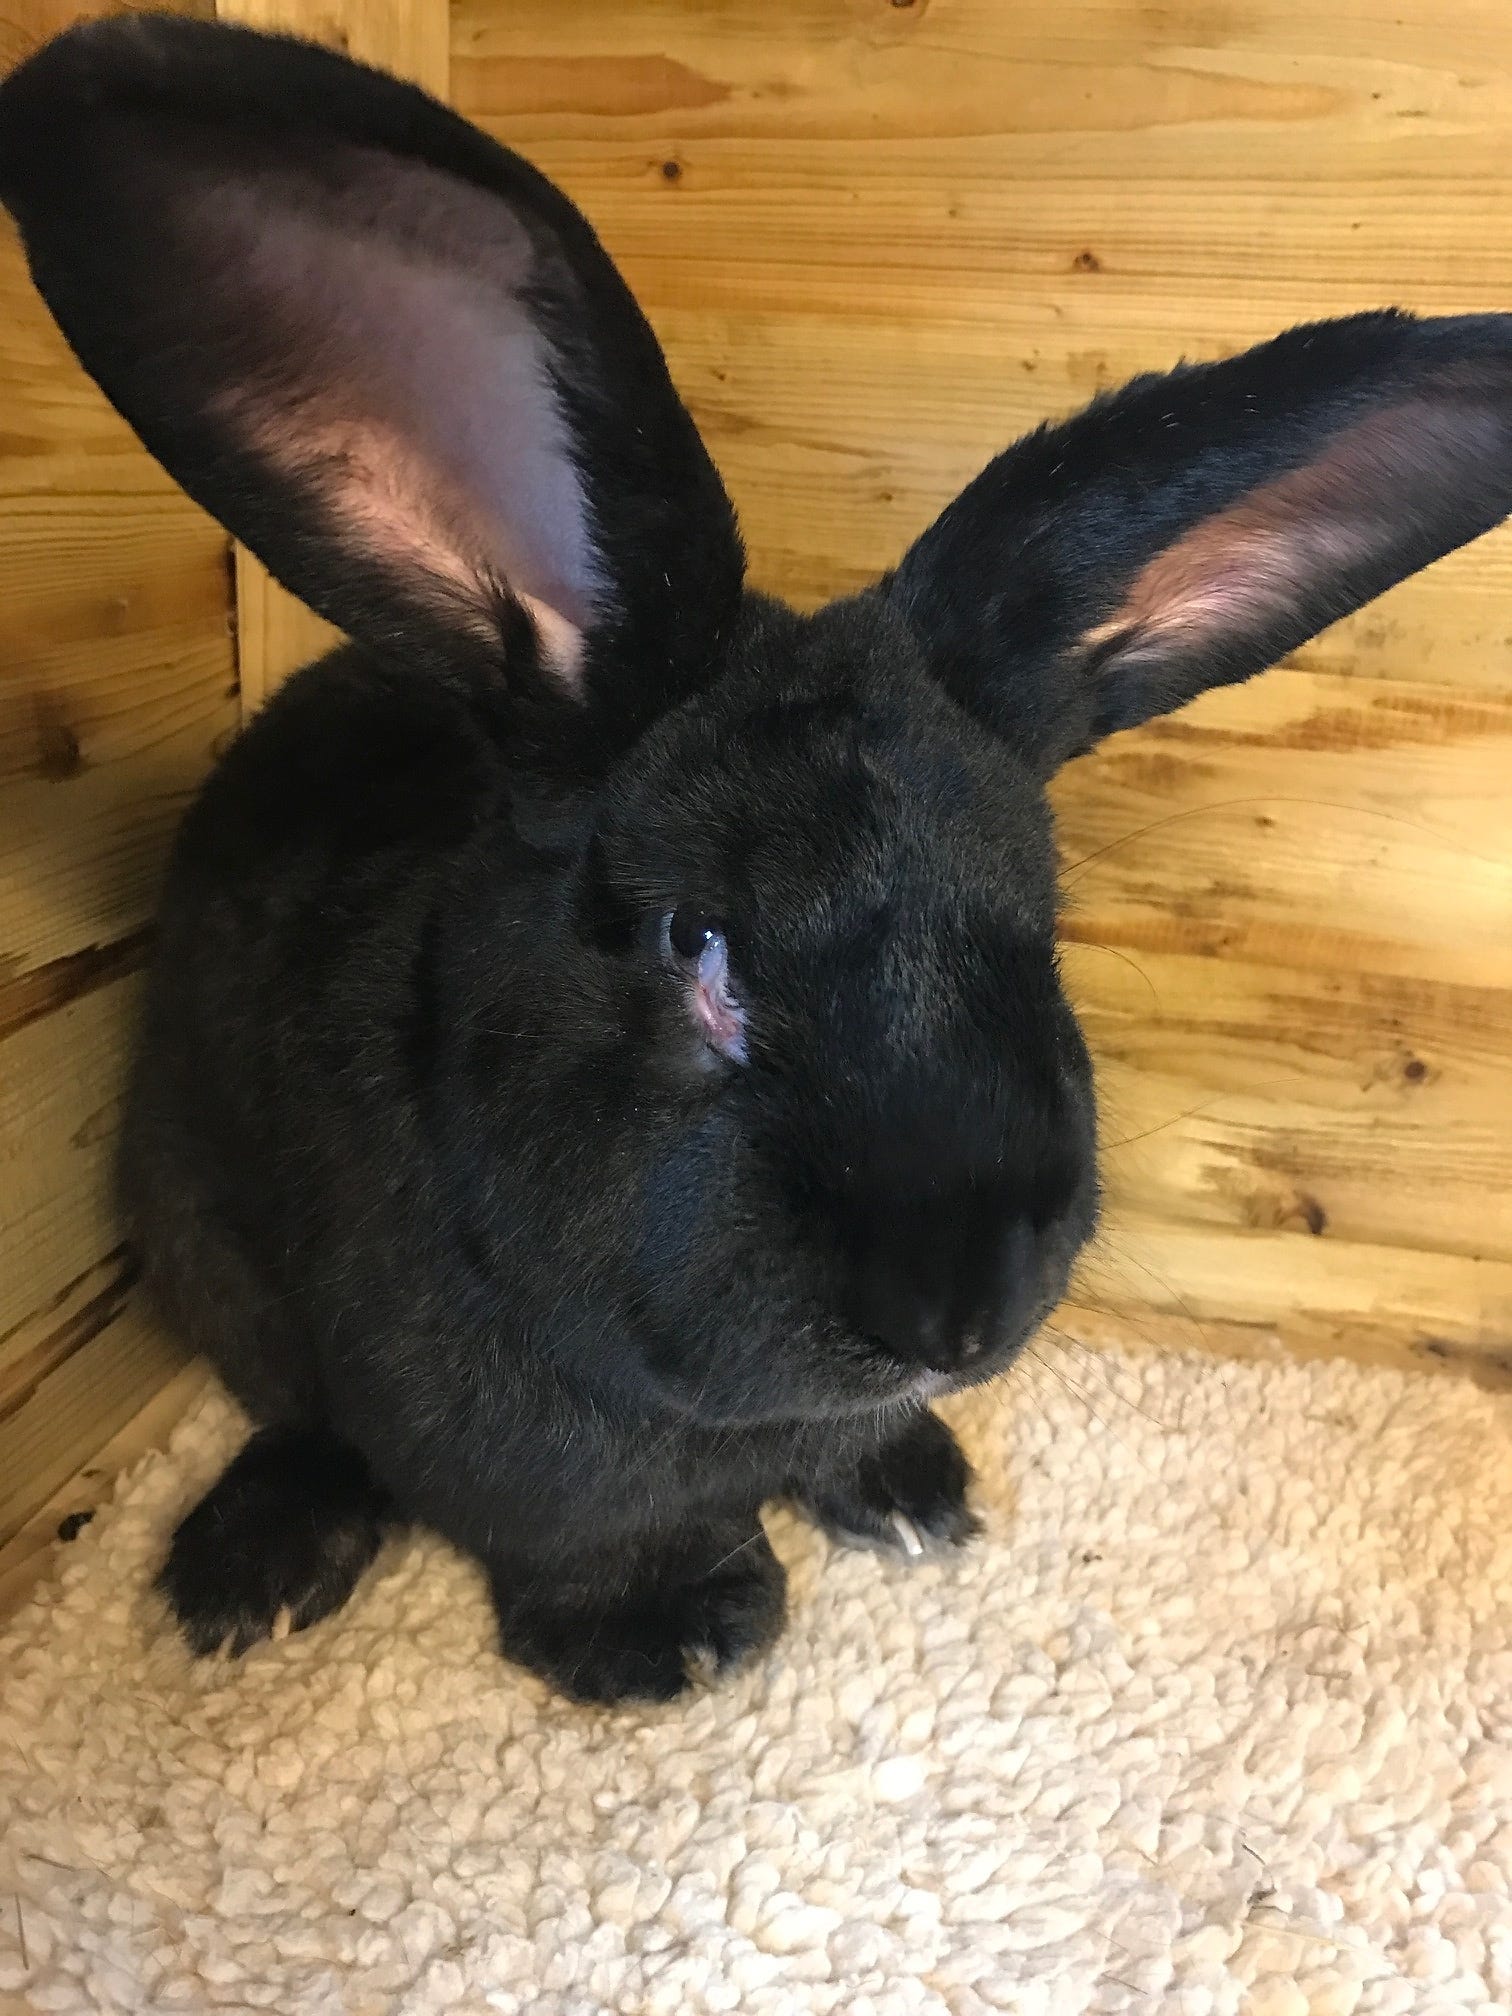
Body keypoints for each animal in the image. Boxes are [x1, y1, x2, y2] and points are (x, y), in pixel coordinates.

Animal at [4, 13, 1512, 1706]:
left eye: (1040, 924)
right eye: (692, 943)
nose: (956, 1314)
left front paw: (912, 1496)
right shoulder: (503, 1461)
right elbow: (573, 1538)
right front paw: (671, 1643)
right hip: (196, 1227)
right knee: (292, 1414)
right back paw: (250, 1573)